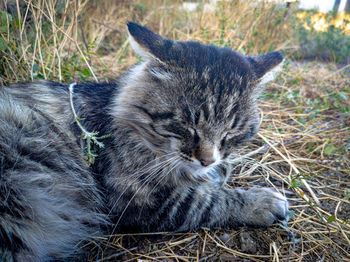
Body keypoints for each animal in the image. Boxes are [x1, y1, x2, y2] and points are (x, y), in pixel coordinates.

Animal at [0, 23, 288, 262]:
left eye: (230, 133)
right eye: (188, 127)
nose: (207, 160)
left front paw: (217, 170)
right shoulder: (135, 199)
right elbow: (206, 201)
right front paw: (261, 201)